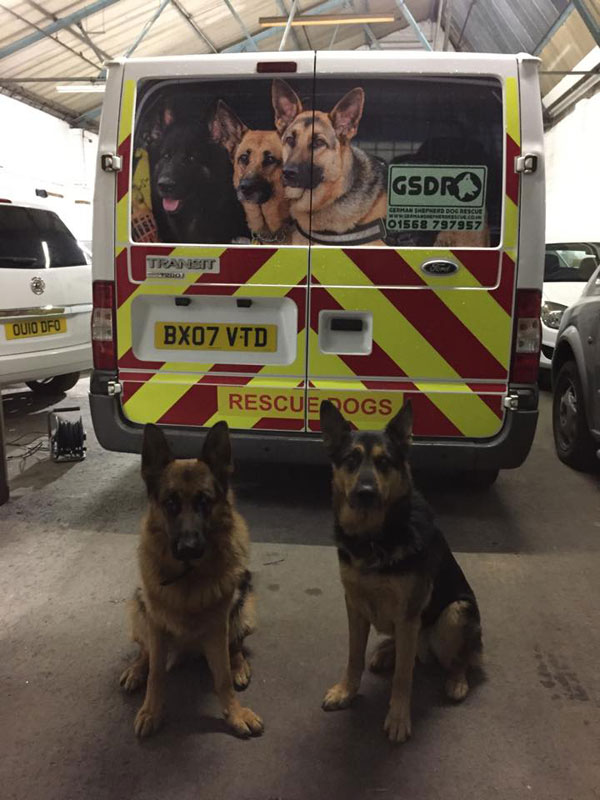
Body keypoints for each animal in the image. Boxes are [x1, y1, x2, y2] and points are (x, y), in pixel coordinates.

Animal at [119, 422, 262, 740]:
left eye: (204, 502)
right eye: (170, 503)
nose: (189, 548)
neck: (188, 578)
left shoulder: (218, 627)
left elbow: (222, 678)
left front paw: (235, 714)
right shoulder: (156, 625)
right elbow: (156, 674)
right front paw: (151, 711)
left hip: (245, 607)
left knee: (235, 646)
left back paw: (240, 666)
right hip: (138, 608)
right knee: (145, 651)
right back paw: (136, 669)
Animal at [318, 400, 482, 744]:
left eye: (384, 462)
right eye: (351, 460)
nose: (366, 492)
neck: (373, 539)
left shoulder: (408, 614)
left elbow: (403, 677)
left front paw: (397, 718)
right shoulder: (355, 606)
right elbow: (354, 656)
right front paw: (346, 691)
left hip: (455, 612)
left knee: (460, 657)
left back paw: (457, 680)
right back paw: (386, 652)